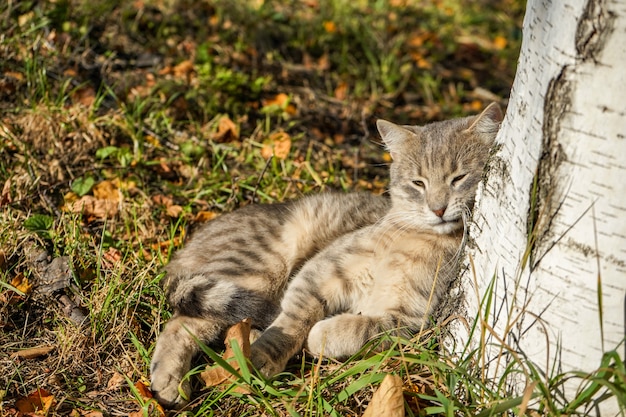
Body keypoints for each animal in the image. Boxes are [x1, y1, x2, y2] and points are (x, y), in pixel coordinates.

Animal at [149, 102, 500, 408]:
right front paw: (264, 355)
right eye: (418, 183)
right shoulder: (319, 272)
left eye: (458, 178)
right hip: (258, 271)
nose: (438, 209)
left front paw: (321, 335)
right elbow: (291, 324)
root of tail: (186, 249)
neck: (413, 240)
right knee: (180, 324)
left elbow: (356, 330)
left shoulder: (411, 322)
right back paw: (170, 382)